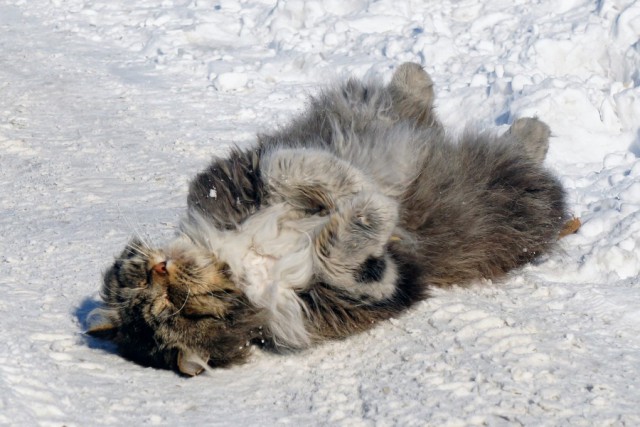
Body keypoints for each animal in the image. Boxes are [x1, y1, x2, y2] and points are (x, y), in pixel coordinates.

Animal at [86, 61, 568, 376]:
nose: (160, 267)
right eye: (169, 306)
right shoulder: (374, 286)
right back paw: (530, 129)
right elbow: (342, 249)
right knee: (514, 152)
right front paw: (371, 206)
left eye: (145, 283)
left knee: (407, 103)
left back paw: (419, 74)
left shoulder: (232, 180)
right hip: (504, 195)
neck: (245, 265)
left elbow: (284, 167)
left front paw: (348, 185)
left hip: (372, 111)